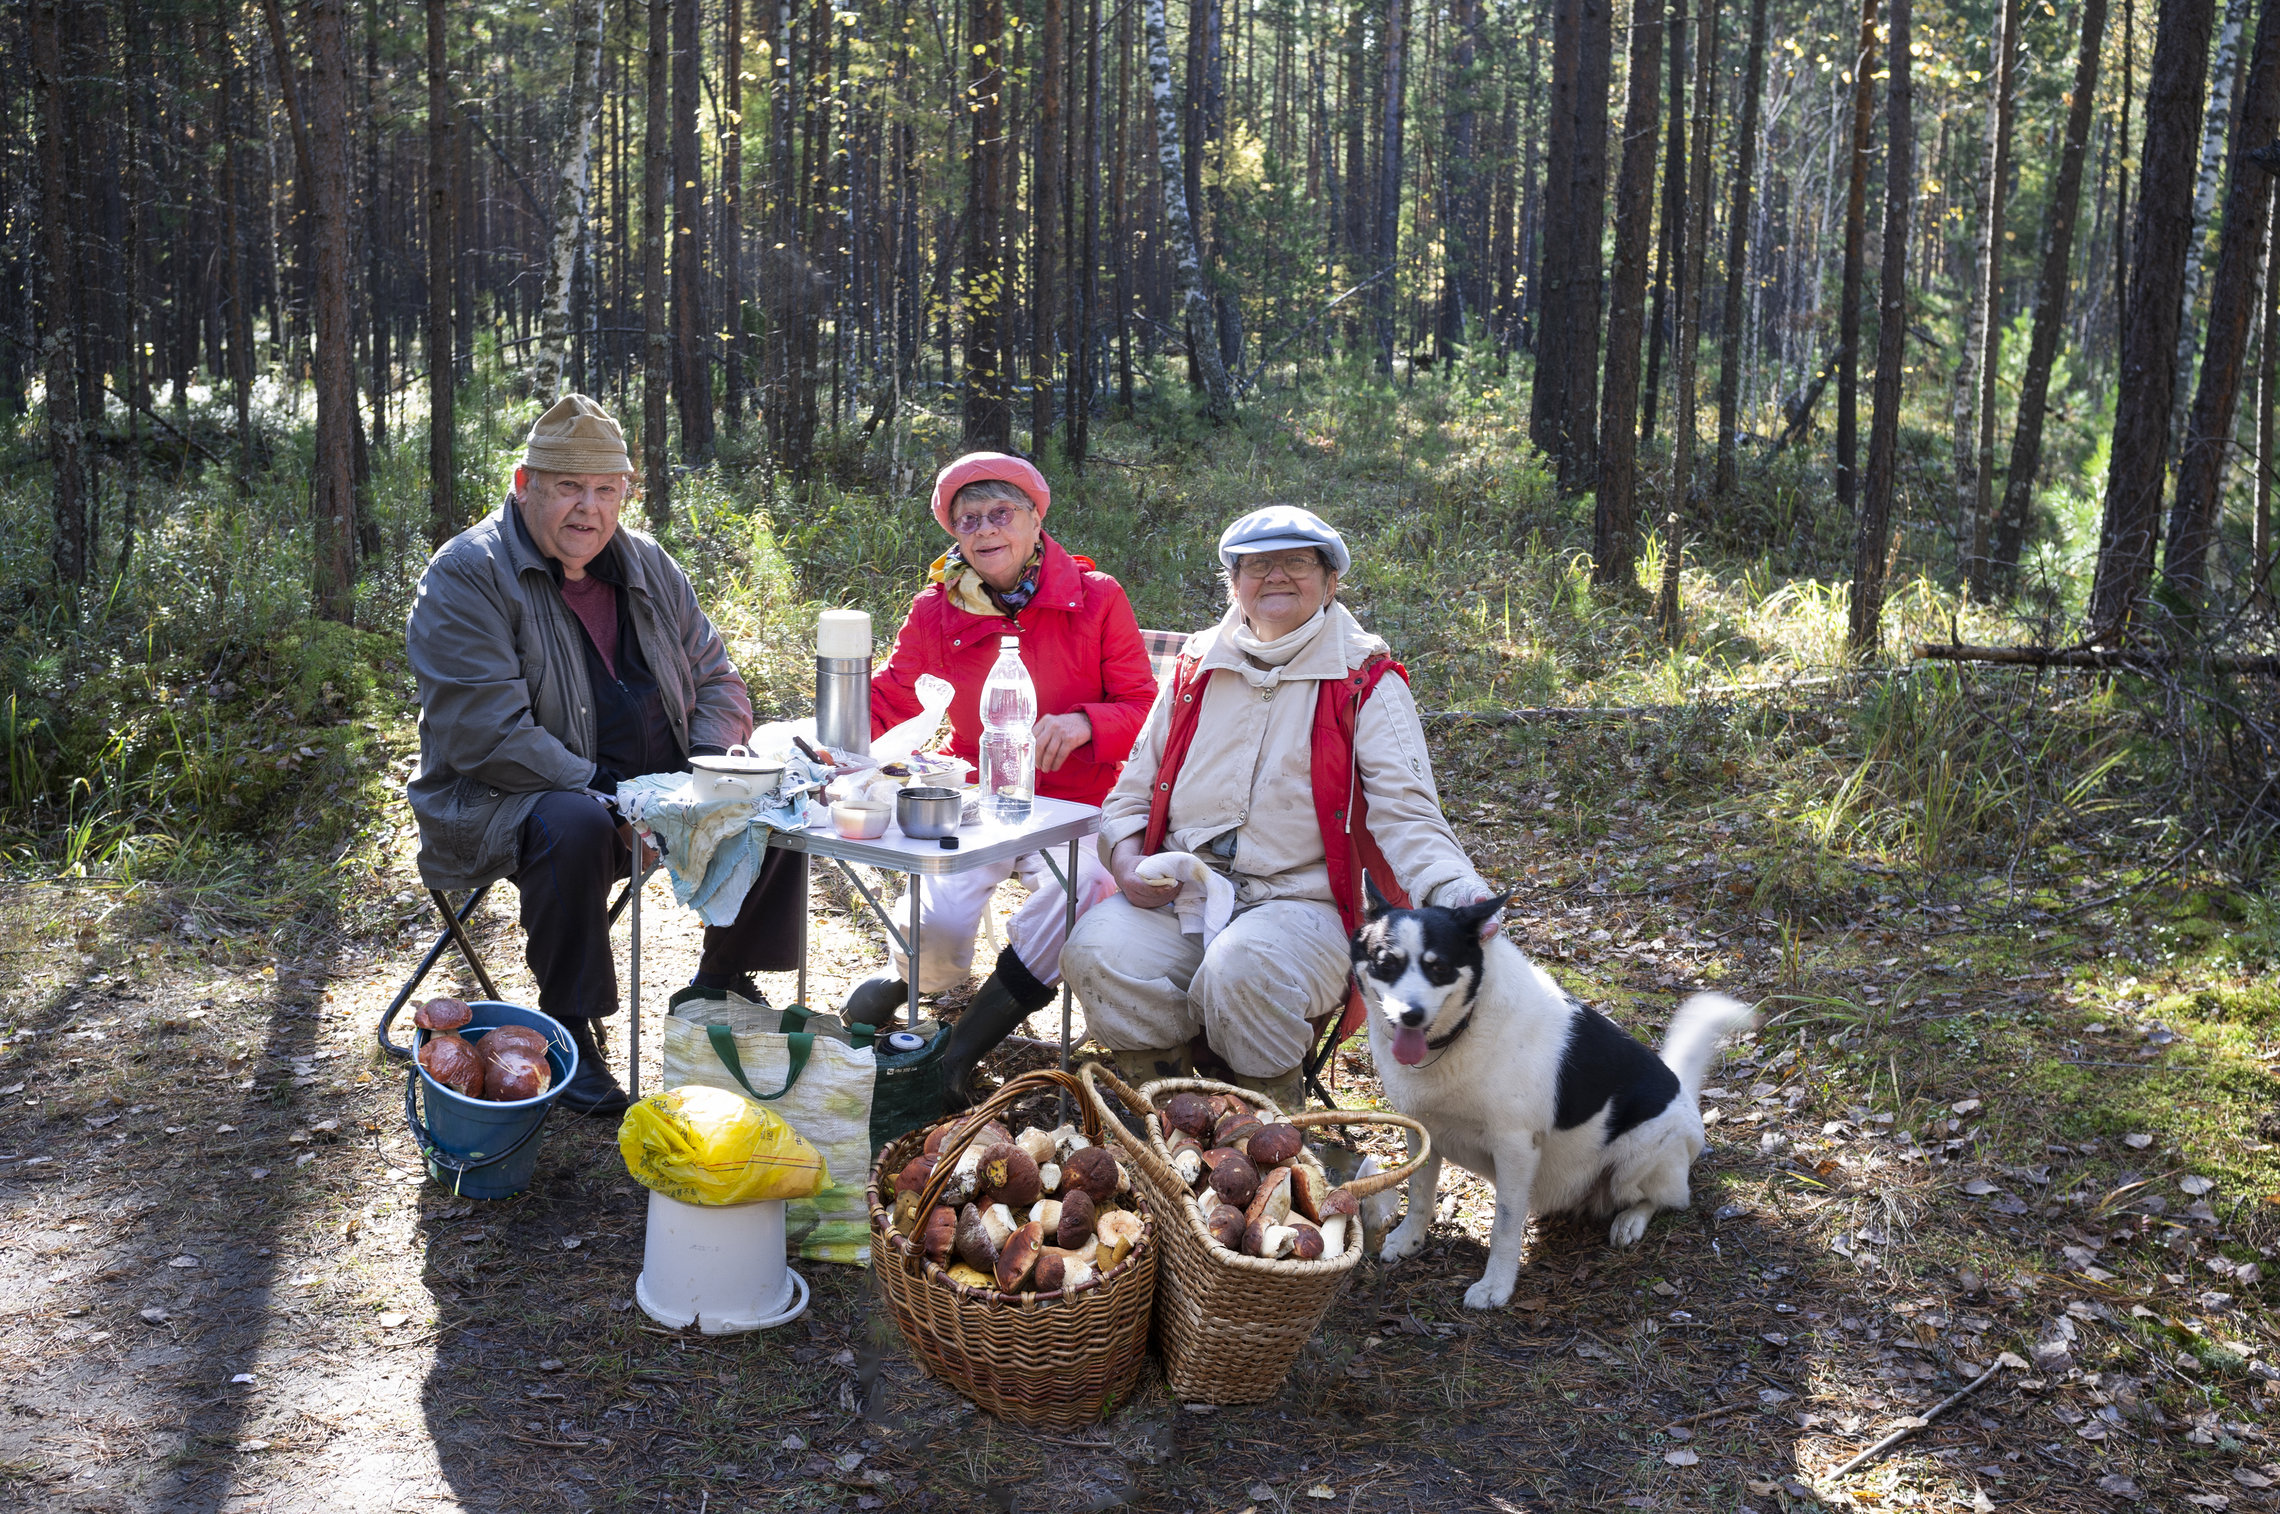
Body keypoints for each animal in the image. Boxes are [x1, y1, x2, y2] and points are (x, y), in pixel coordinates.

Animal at [1349, 880, 1741, 1304]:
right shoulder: (1422, 1130)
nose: (1410, 1016)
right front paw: (1409, 1239)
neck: (1461, 1030)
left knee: (1666, 1199)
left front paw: (1496, 1285)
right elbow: (1420, 1191)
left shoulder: (1516, 1146)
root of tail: (1686, 1099)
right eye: (1387, 964)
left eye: (1439, 967)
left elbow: (1504, 1225)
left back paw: (1630, 1221)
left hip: (1638, 1157)